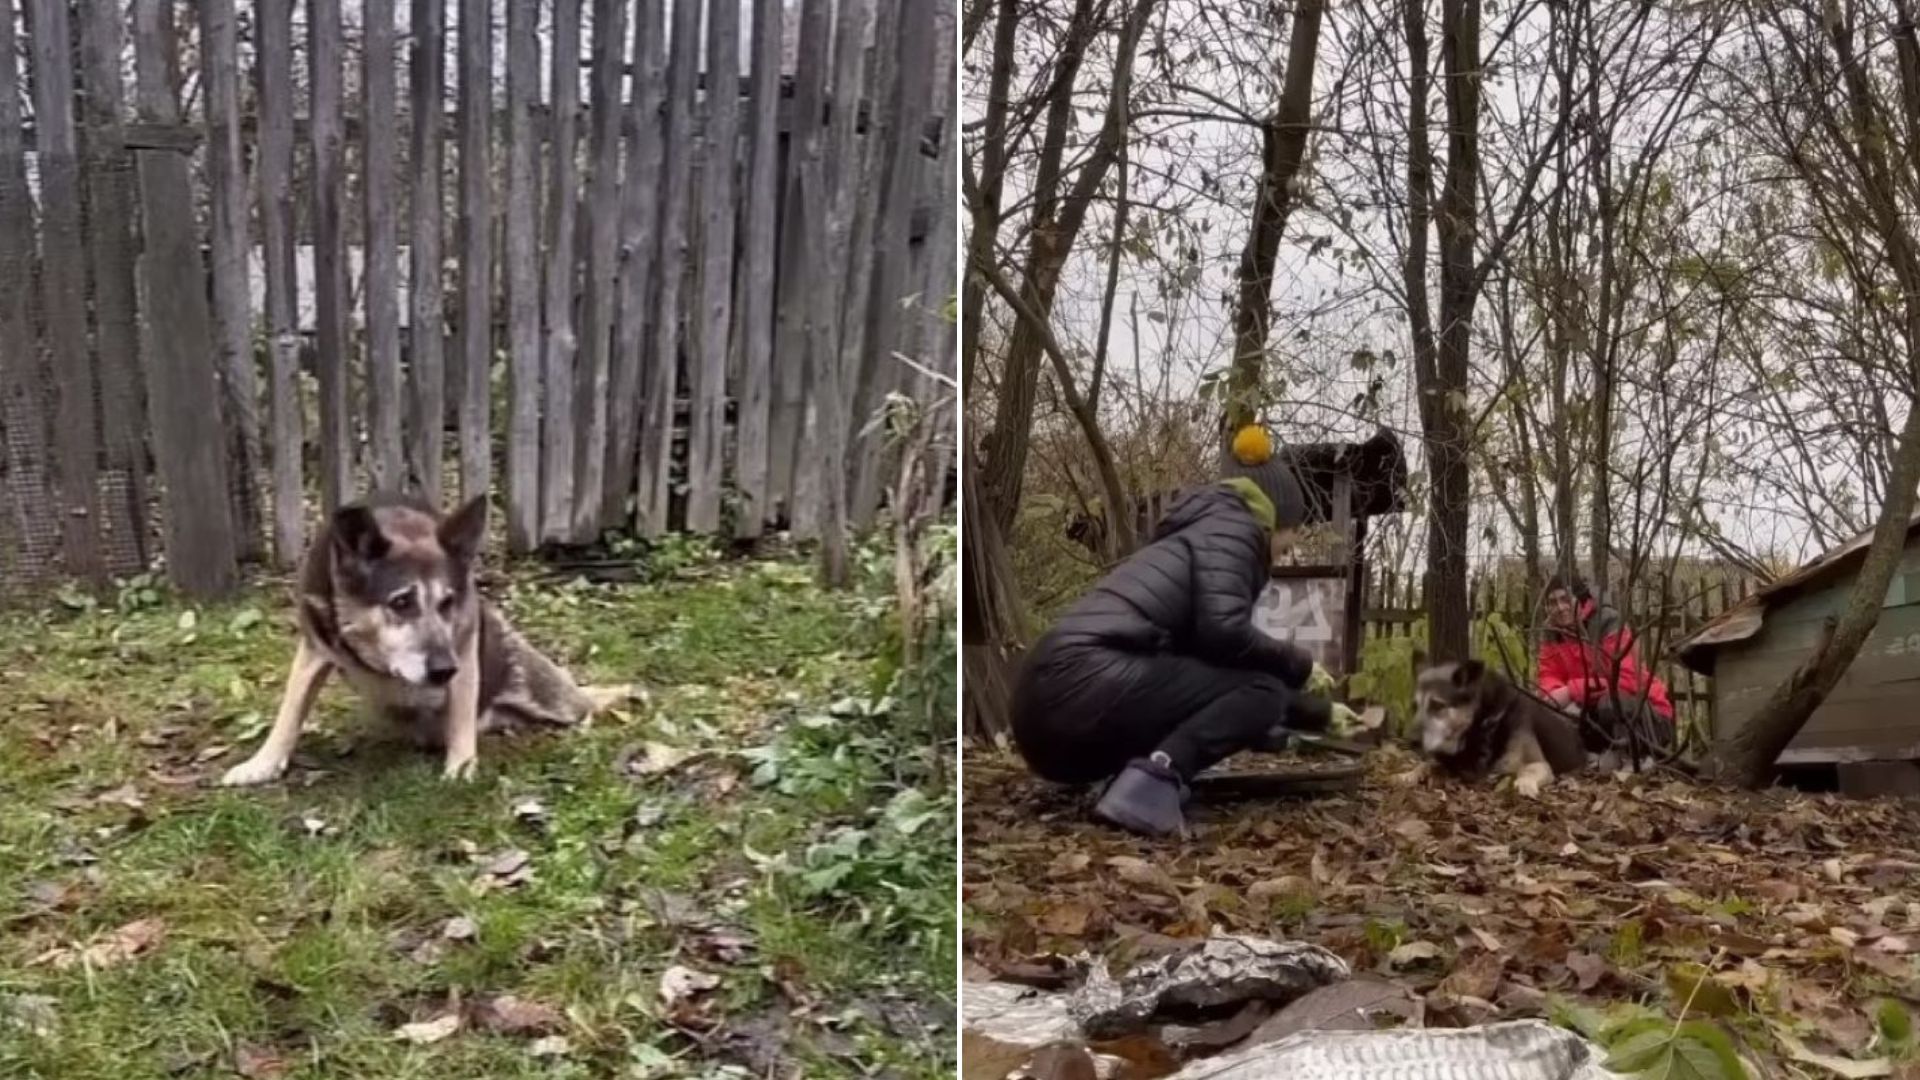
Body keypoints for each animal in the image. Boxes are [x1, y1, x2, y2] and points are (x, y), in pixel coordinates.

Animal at [221, 491, 629, 787]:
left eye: (447, 602)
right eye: (401, 602)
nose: (443, 670)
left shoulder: (463, 648)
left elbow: (461, 716)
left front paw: (460, 769)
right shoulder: (313, 650)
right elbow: (290, 710)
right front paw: (263, 763)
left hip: (549, 692)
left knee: (583, 702)